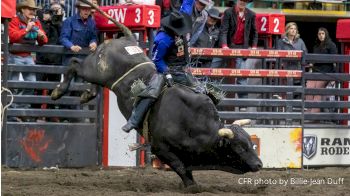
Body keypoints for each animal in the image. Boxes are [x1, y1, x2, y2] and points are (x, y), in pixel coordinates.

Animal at [50, 0, 262, 187]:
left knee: (91, 80)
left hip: (100, 76)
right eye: (240, 147)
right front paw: (192, 186)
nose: (259, 164)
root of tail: (126, 38)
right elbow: (180, 167)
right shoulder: (161, 148)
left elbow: (186, 168)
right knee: (75, 64)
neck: (195, 124)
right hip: (95, 69)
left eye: (250, 143)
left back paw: (87, 94)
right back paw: (57, 91)